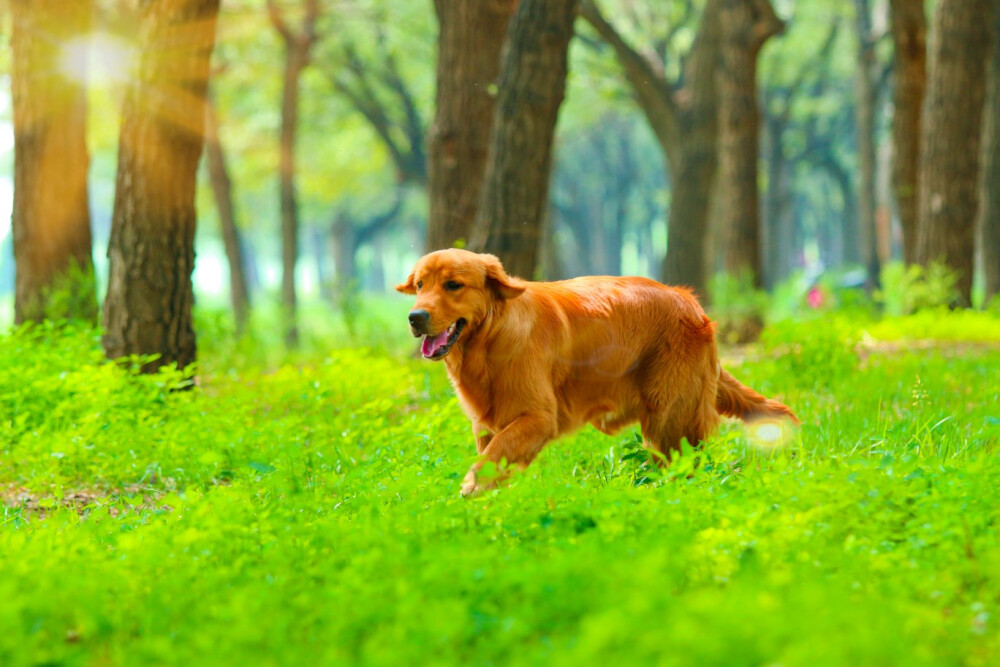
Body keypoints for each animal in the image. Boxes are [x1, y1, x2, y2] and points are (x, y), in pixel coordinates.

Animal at [398, 250, 796, 496]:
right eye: (420, 285)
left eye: (453, 285)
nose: (415, 317)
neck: (490, 338)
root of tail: (691, 303)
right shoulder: (486, 424)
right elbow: (495, 456)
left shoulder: (538, 417)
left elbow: (496, 454)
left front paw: (470, 488)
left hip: (670, 418)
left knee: (685, 464)